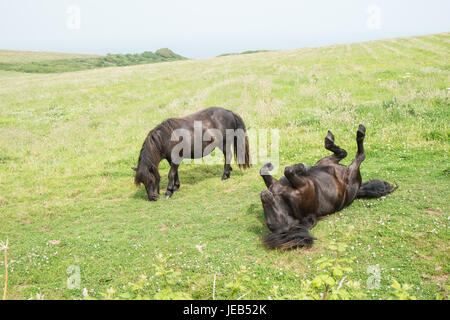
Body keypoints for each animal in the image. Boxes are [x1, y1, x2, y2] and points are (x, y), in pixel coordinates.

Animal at [258, 125, 396, 250]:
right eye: (271, 223)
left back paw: (330, 139)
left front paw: (269, 165)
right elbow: (288, 171)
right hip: (351, 172)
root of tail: (357, 191)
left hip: (325, 161)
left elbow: (264, 171)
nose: (264, 195)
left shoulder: (273, 183)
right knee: (360, 155)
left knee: (342, 152)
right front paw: (300, 166)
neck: (285, 200)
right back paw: (360, 133)